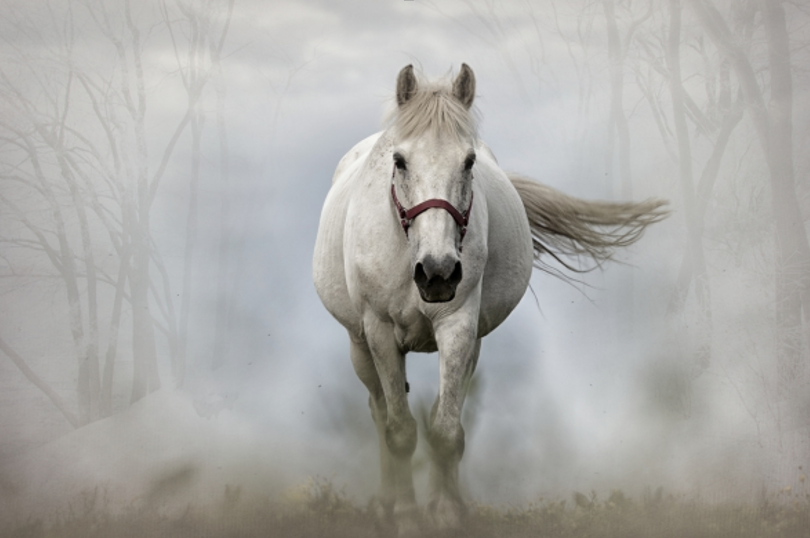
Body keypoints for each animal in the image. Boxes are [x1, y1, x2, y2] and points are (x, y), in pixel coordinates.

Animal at [312, 64, 667, 535]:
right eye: (400, 160)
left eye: (468, 161)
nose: (438, 272)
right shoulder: (380, 332)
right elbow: (400, 431)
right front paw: (405, 518)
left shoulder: (459, 326)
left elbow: (446, 430)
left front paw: (446, 514)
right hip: (360, 345)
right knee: (378, 411)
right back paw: (387, 504)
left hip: (471, 345)